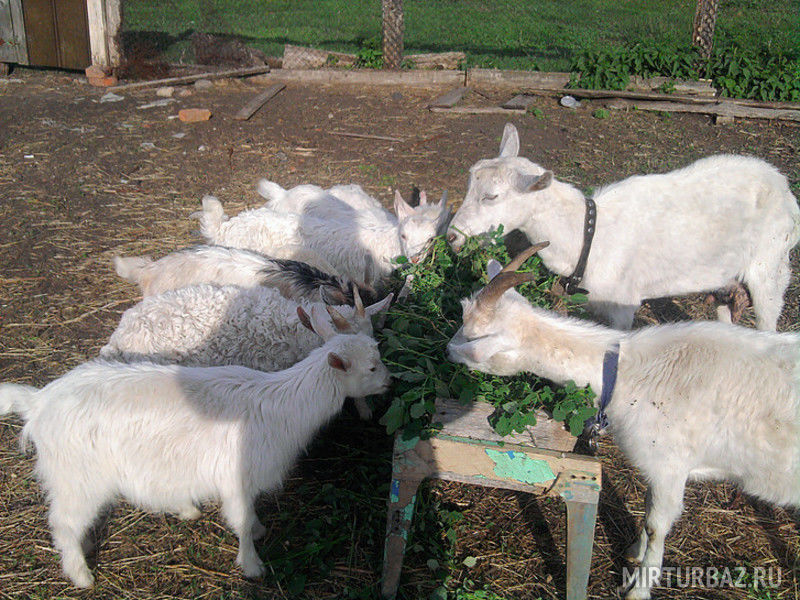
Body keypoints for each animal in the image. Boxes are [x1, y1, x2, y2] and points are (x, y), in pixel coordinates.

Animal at [0, 308, 390, 588]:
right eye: (371, 367)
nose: (391, 383)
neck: (280, 403)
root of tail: (38, 402)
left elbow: (250, 517)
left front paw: (259, 531)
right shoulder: (235, 478)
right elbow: (241, 522)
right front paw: (253, 566)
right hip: (76, 476)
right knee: (63, 523)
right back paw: (80, 575)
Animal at [446, 244, 800, 600]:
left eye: (472, 336)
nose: (447, 349)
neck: (627, 371)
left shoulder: (670, 467)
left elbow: (657, 527)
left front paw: (638, 588)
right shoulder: (656, 469)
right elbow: (646, 509)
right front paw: (633, 551)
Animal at [450, 121, 800, 328]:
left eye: (491, 196)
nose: (453, 237)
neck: (587, 234)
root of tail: (783, 187)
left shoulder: (622, 304)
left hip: (771, 262)